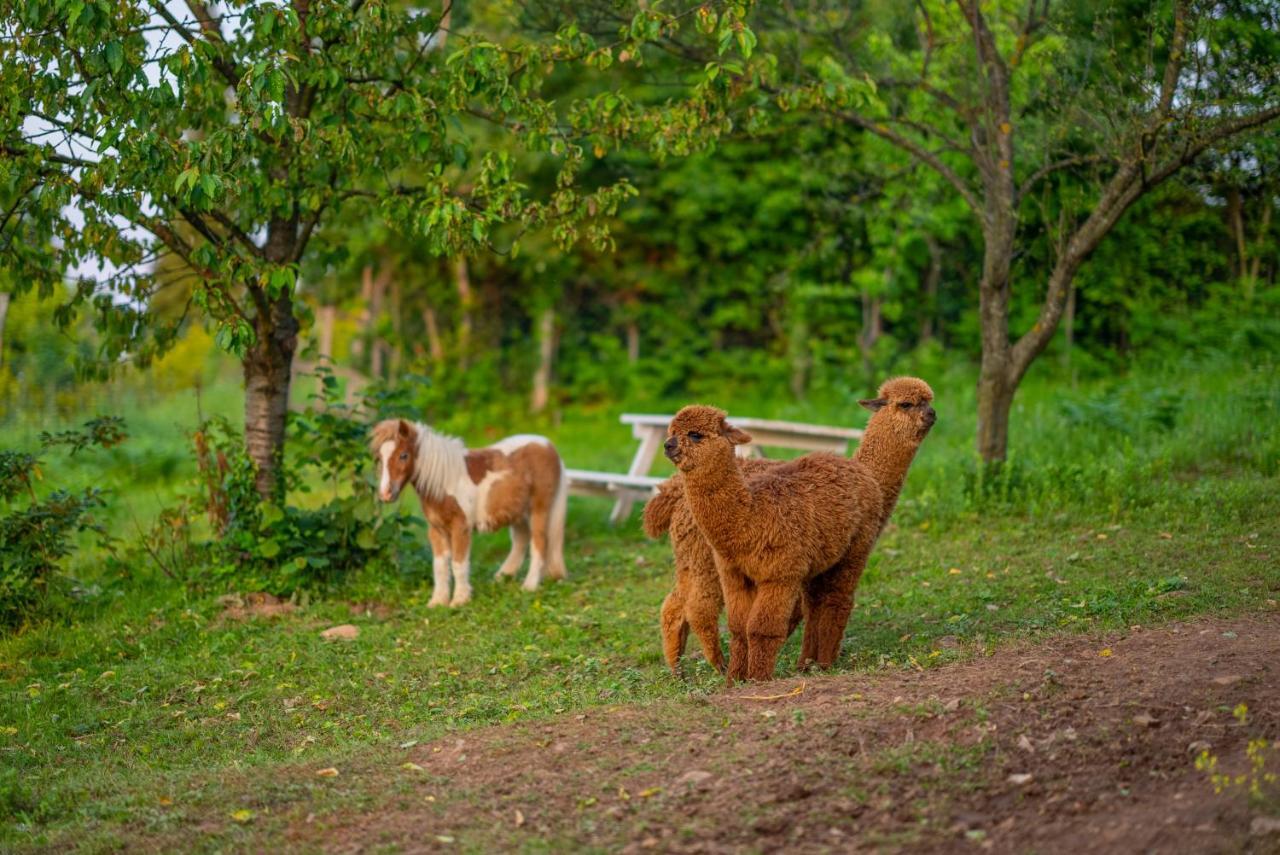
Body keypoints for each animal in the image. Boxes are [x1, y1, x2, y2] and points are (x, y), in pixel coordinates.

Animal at [373, 417, 568, 604]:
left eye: (403, 455)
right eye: (379, 458)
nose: (385, 494)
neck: (445, 482)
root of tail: (549, 447)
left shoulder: (461, 527)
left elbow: (458, 563)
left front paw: (460, 599)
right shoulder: (436, 529)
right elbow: (440, 565)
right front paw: (438, 601)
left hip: (539, 509)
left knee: (539, 542)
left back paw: (529, 586)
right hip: (517, 512)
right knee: (521, 540)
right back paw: (501, 578)